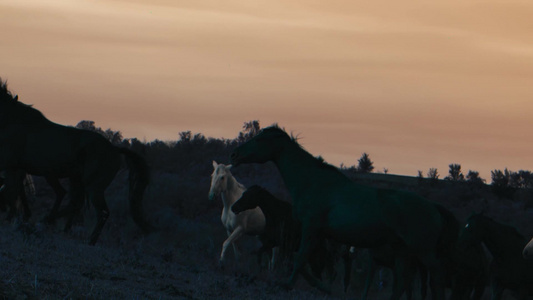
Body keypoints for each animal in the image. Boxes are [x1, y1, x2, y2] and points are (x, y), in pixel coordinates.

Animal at [0, 78, 154, 245]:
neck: (14, 120)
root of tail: (114, 148)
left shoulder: (10, 166)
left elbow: (11, 191)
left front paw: (12, 217)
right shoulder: (16, 169)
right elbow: (14, 191)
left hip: (93, 186)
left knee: (101, 211)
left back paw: (87, 239)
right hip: (75, 179)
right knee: (75, 202)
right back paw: (56, 224)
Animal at [231, 125, 446, 298]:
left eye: (259, 139)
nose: (235, 154)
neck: (312, 182)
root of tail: (434, 208)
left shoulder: (310, 228)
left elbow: (300, 260)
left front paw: (290, 285)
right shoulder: (317, 235)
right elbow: (304, 263)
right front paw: (323, 287)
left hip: (423, 252)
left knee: (435, 280)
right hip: (402, 251)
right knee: (404, 281)